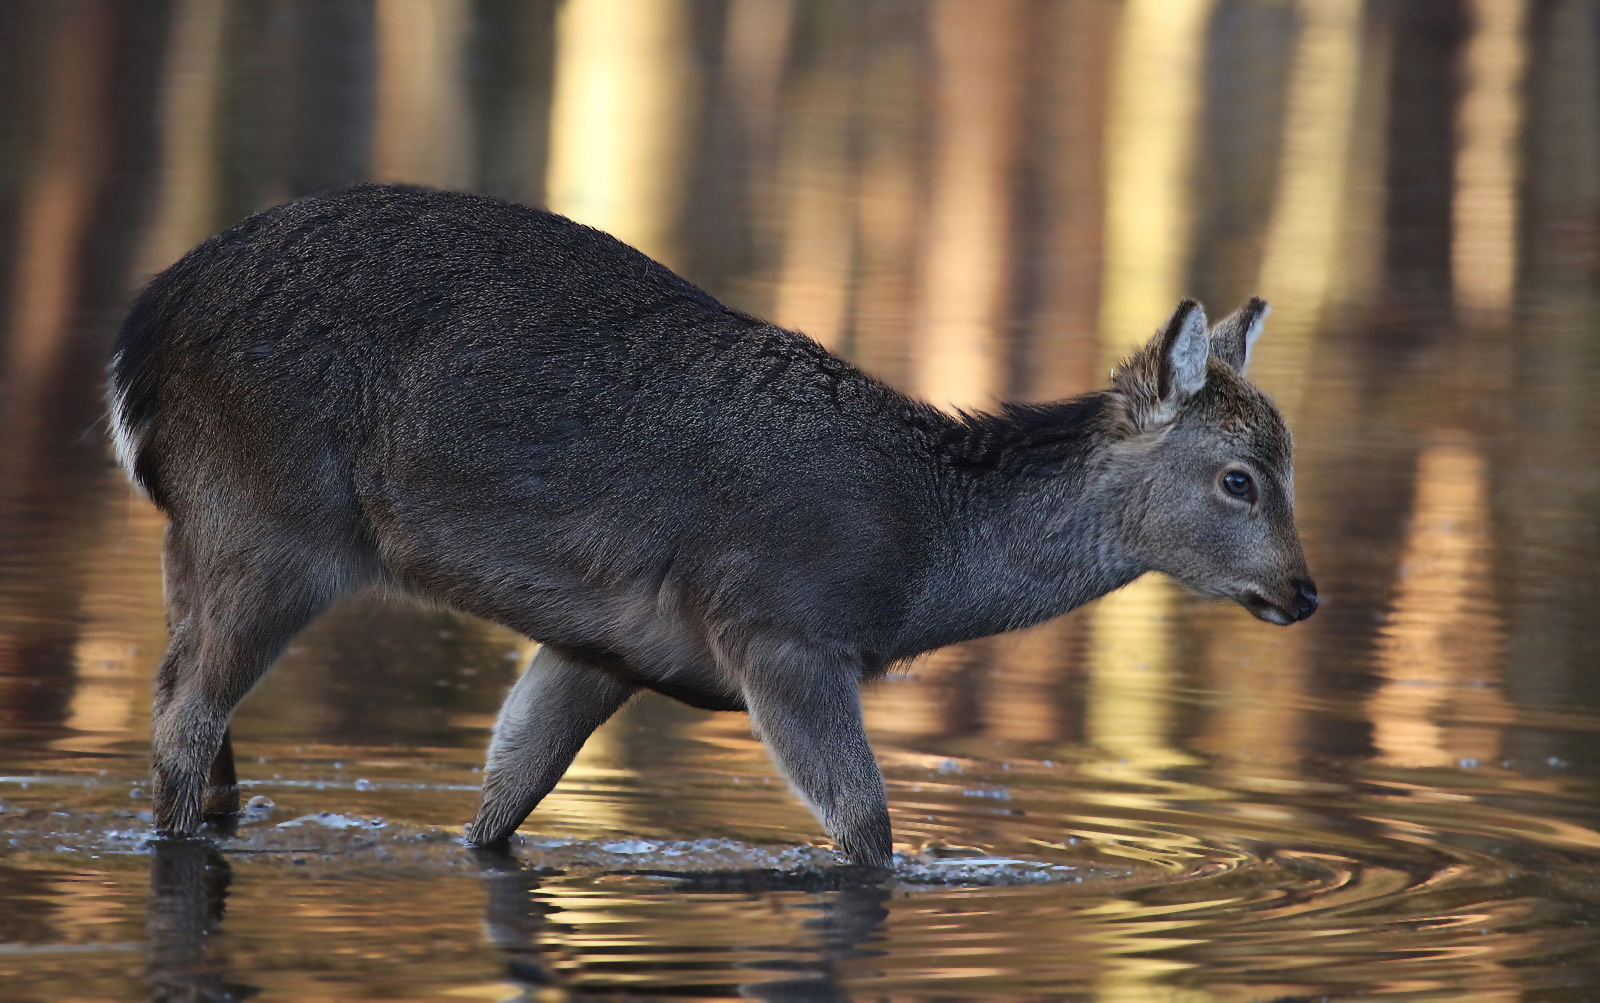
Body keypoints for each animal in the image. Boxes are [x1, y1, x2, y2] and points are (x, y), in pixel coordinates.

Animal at [109, 184, 1312, 870]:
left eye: (1289, 460)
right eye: (1240, 479)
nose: (1303, 591)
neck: (923, 559)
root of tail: (144, 332)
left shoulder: (599, 646)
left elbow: (498, 803)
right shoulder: (782, 626)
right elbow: (865, 831)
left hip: (204, 529)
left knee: (199, 717)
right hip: (265, 517)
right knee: (181, 713)